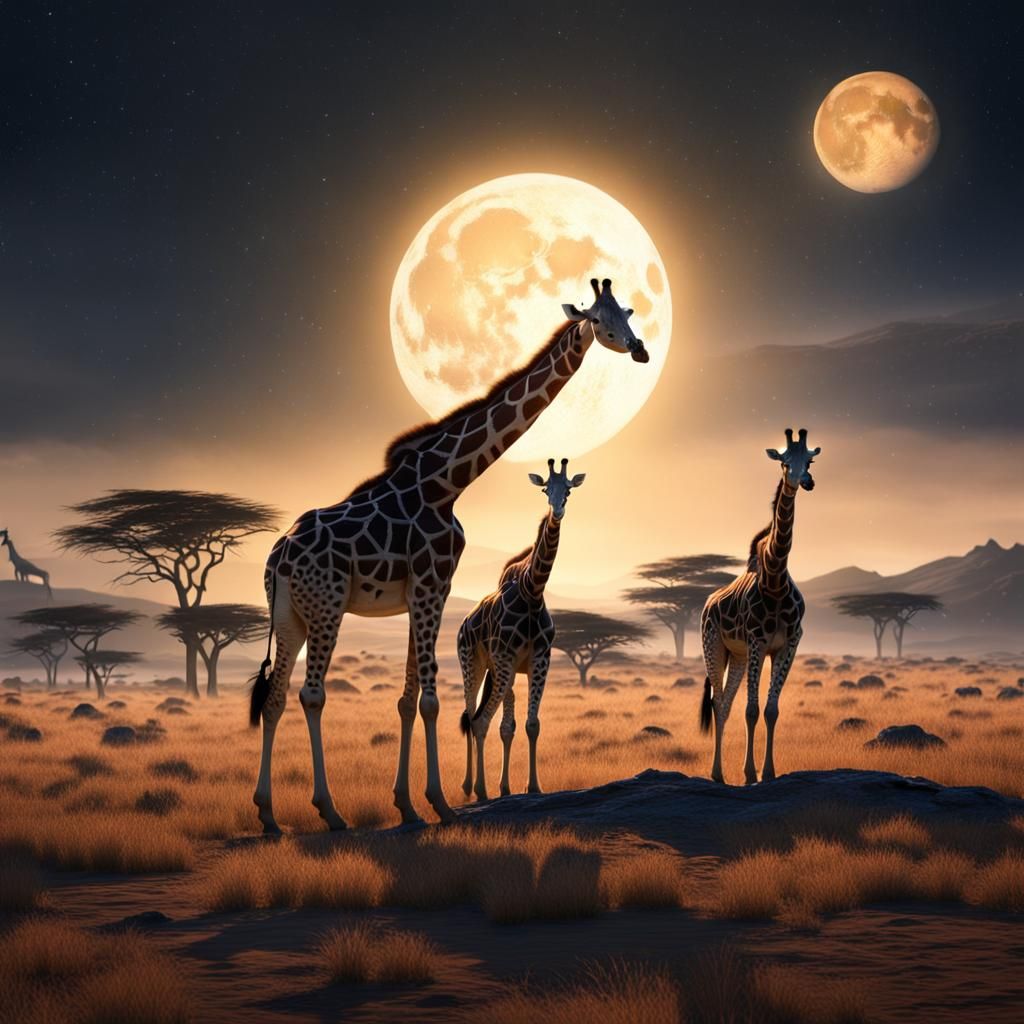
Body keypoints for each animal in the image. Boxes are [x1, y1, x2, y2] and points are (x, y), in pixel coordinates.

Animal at [457, 457, 585, 801]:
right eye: (545, 489)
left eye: (568, 490)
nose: (557, 511)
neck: (532, 592)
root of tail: (465, 622)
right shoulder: (505, 659)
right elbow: (487, 722)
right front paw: (487, 790)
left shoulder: (540, 659)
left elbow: (529, 725)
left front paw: (533, 787)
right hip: (473, 663)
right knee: (474, 717)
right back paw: (473, 787)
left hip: (505, 671)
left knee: (499, 723)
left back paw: (500, 787)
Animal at [697, 428, 821, 785]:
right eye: (784, 461)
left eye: (809, 460)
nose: (806, 481)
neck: (774, 581)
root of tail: (707, 604)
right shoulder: (757, 642)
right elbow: (751, 711)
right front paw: (750, 773)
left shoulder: (788, 644)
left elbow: (771, 710)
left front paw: (768, 772)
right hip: (714, 645)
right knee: (718, 702)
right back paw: (717, 774)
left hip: (737, 656)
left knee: (725, 704)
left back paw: (721, 774)